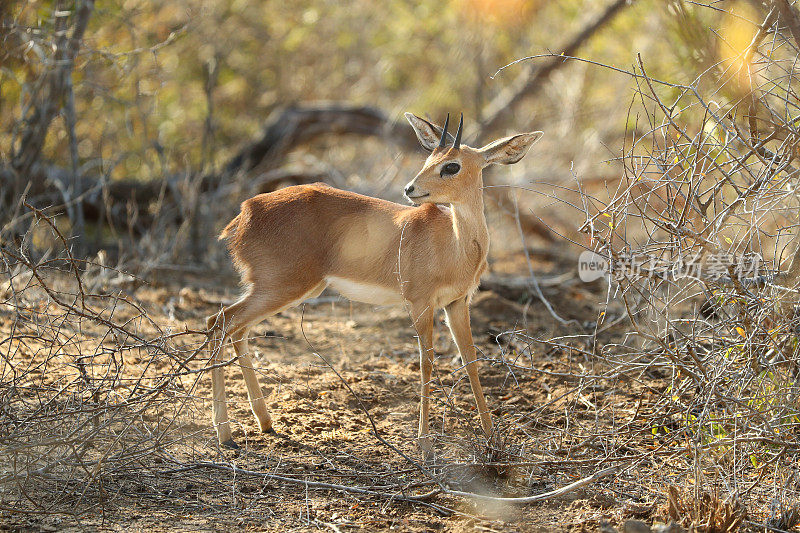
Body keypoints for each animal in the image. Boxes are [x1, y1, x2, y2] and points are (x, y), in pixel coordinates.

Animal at [206, 111, 544, 448]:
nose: (410, 189)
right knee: (219, 322)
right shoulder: (419, 304)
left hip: (284, 290)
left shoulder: (457, 303)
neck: (453, 244)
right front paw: (424, 443)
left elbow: (471, 359)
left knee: (234, 328)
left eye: (451, 165)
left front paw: (492, 437)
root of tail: (244, 214)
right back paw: (225, 434)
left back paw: (264, 423)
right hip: (282, 286)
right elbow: (426, 363)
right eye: (428, 159)